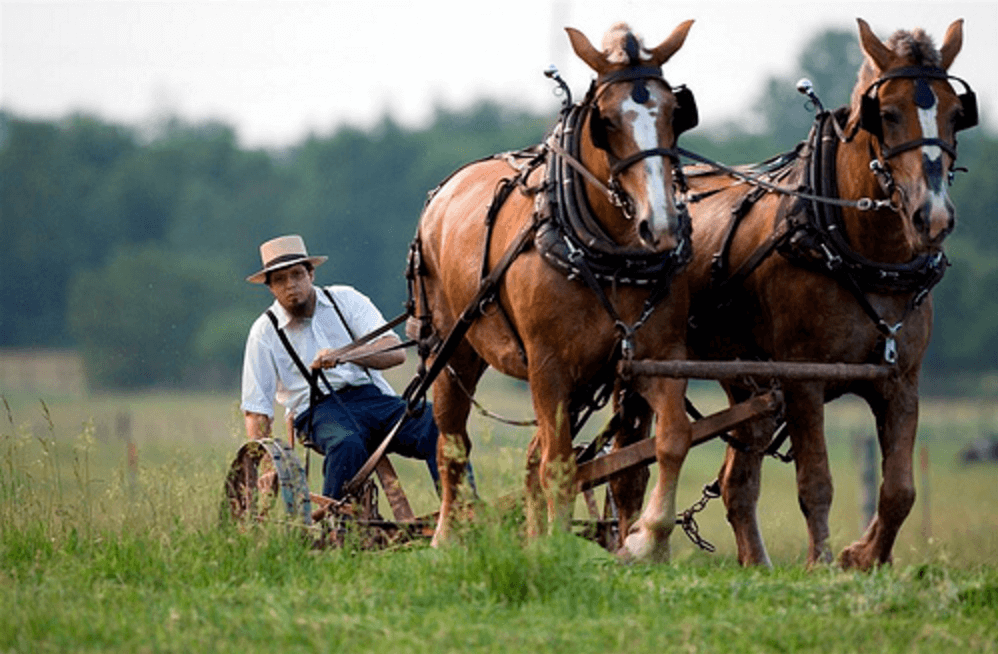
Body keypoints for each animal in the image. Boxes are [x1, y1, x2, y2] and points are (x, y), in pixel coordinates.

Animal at [410, 23, 700, 560]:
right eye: (606, 121)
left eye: (676, 111)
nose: (661, 227)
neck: (609, 255)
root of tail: (445, 191)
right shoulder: (547, 366)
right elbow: (560, 465)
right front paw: (560, 546)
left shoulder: (658, 356)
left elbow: (674, 437)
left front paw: (646, 539)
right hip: (451, 348)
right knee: (452, 443)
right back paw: (446, 537)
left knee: (531, 455)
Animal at [680, 19, 976, 576]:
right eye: (888, 112)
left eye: (955, 113)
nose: (933, 217)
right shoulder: (804, 379)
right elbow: (815, 480)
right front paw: (820, 561)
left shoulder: (901, 380)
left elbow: (900, 489)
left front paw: (864, 555)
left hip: (747, 382)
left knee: (736, 480)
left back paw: (756, 562)